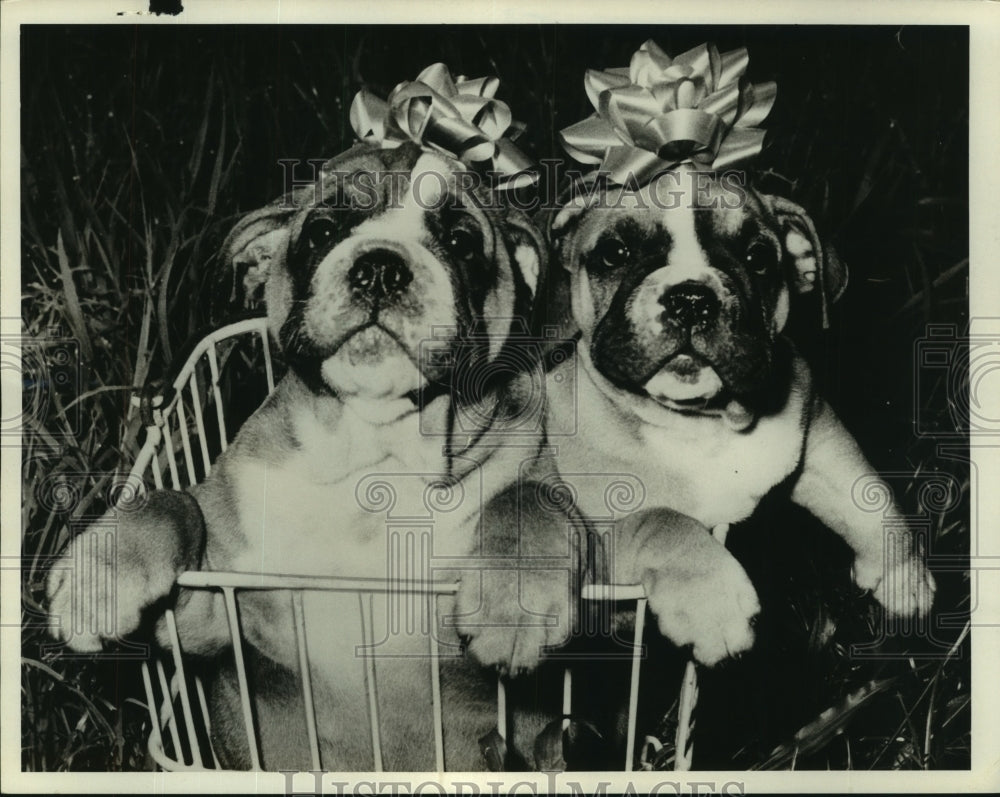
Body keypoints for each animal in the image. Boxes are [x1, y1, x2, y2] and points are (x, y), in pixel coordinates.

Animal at [47, 143, 576, 772]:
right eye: (322, 230)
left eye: (461, 240)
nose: (380, 266)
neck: (372, 453)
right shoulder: (208, 617)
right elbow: (173, 503)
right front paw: (100, 577)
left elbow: (530, 498)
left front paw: (516, 599)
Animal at [544, 168, 932, 664]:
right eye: (614, 253)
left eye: (759, 257)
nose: (691, 298)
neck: (702, 424)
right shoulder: (592, 546)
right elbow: (663, 521)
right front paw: (715, 606)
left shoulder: (819, 441)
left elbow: (872, 497)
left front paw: (905, 576)